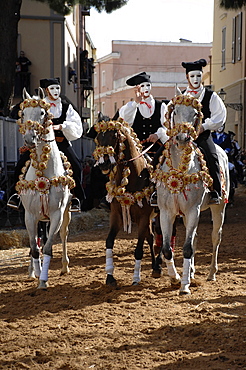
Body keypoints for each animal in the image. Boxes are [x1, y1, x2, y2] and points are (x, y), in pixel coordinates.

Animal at [16, 87, 73, 290]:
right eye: (23, 113)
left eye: (42, 113)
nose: (29, 139)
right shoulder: (29, 215)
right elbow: (34, 248)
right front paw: (37, 273)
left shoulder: (57, 214)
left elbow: (48, 247)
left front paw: (43, 280)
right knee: (38, 241)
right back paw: (32, 270)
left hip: (66, 214)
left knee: (63, 236)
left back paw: (64, 266)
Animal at [153, 94, 230, 294]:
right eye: (175, 112)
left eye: (196, 113)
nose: (182, 138)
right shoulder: (166, 212)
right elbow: (167, 249)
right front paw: (175, 278)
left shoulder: (192, 210)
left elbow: (187, 248)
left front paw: (184, 285)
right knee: (194, 239)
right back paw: (193, 272)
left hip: (219, 208)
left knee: (215, 237)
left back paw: (211, 273)